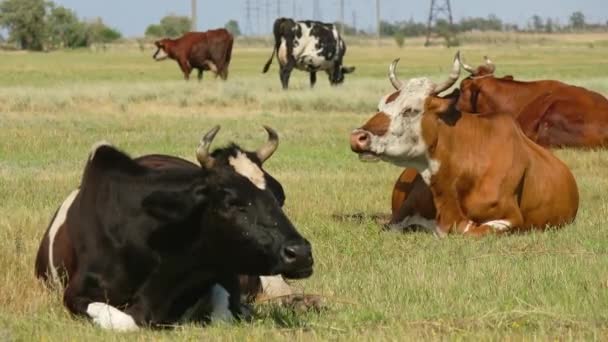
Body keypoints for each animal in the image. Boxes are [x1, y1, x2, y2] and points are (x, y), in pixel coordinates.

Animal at [34, 127, 314, 330]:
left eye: (278, 198)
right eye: (230, 201)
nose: (300, 253)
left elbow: (223, 316)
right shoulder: (75, 294)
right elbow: (125, 321)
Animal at [350, 52, 576, 236]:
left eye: (410, 110)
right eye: (380, 107)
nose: (357, 137)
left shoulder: (510, 218)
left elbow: (468, 230)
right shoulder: (398, 217)